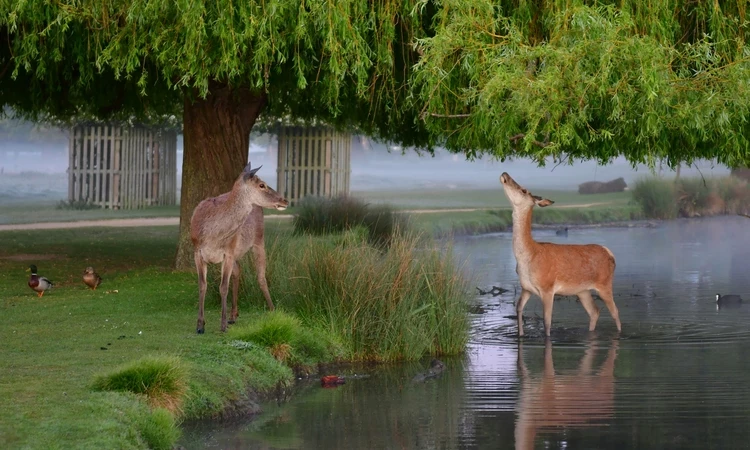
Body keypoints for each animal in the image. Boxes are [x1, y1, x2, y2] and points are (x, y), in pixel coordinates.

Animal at [189, 163, 290, 334]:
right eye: (261, 185)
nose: (285, 200)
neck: (213, 236)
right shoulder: (197, 252)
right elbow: (202, 285)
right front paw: (200, 326)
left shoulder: (228, 252)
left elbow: (223, 287)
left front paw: (222, 325)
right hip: (238, 251)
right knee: (239, 271)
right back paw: (233, 315)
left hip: (258, 239)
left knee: (261, 277)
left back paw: (272, 310)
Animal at [500, 172, 624, 338]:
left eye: (524, 190)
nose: (505, 174)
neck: (528, 256)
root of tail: (610, 253)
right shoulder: (526, 288)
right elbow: (518, 308)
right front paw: (520, 334)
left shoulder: (547, 287)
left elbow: (547, 322)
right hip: (582, 290)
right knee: (594, 311)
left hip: (604, 283)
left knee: (615, 312)